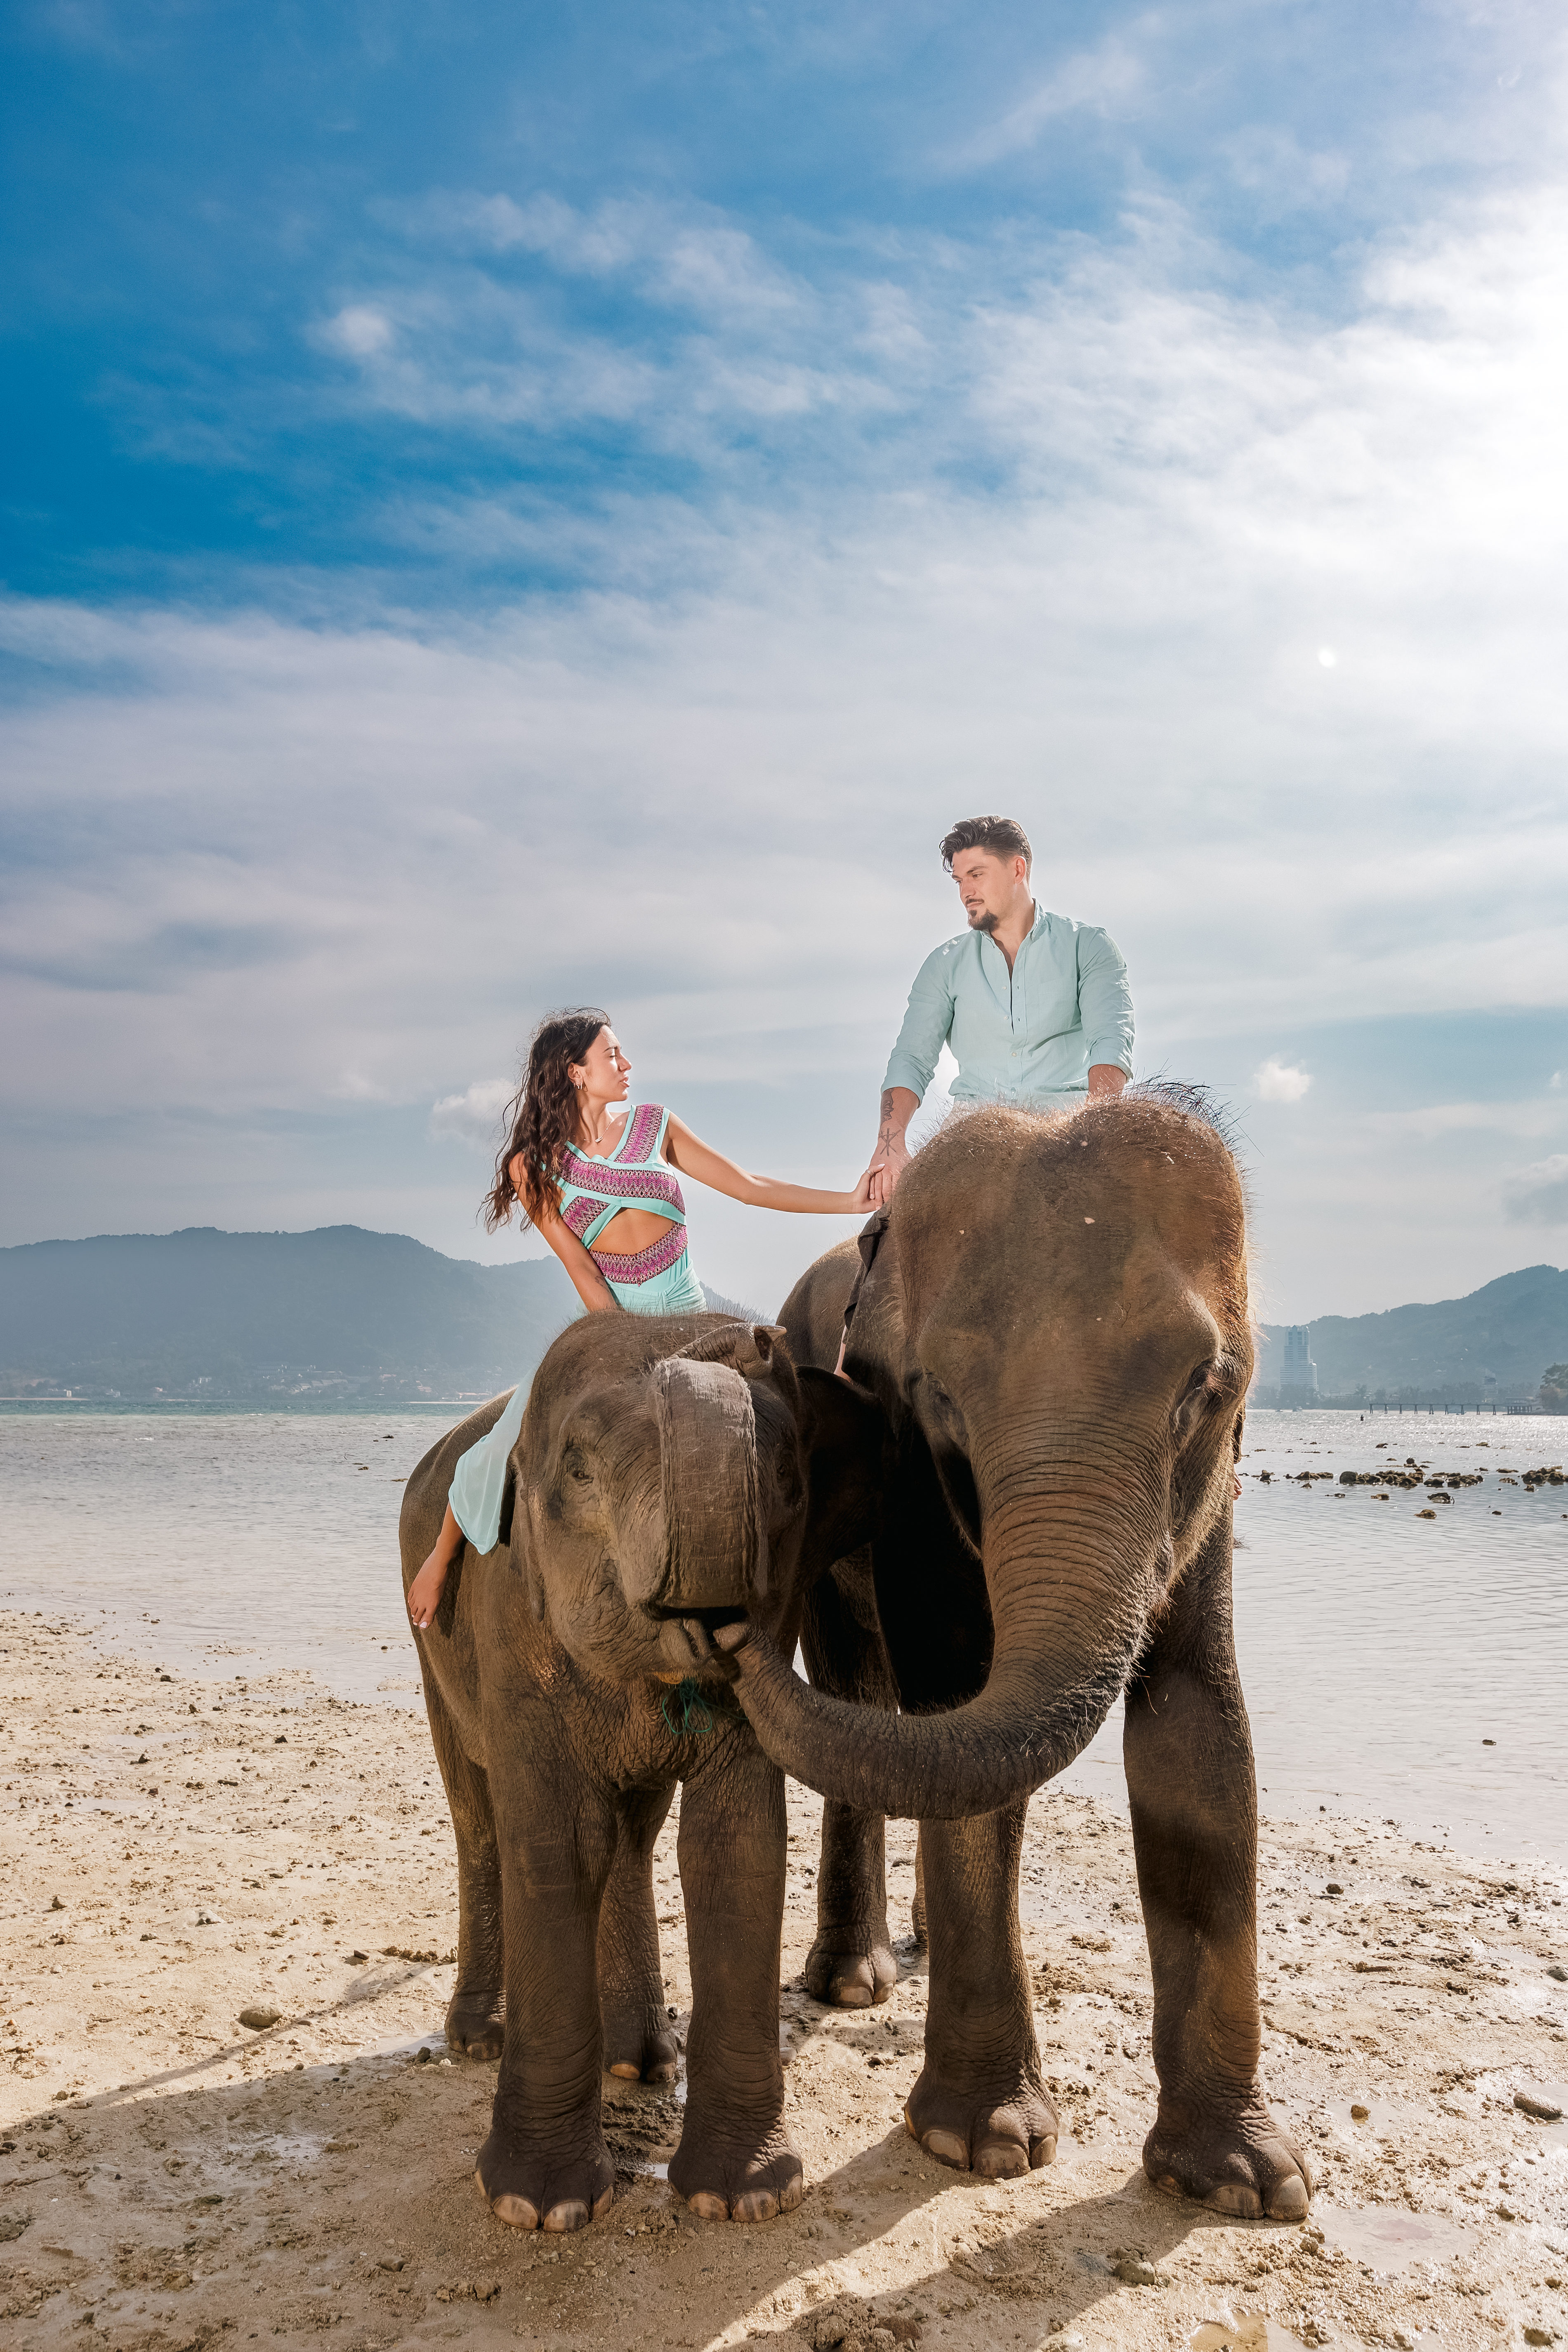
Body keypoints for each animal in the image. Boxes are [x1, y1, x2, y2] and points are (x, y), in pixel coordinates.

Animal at [398, 1312, 880, 2233]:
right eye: (579, 1467)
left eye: (789, 1481)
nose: (754, 1336)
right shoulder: (511, 1622)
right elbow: (554, 1843)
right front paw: (536, 2208)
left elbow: (732, 1846)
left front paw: (746, 2199)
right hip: (430, 1638)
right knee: (478, 1816)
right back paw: (480, 2039)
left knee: (632, 1833)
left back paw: (641, 2062)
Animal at [715, 1087, 1315, 2223]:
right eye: (940, 1396)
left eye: (1205, 1386)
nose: (723, 1627)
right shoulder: (903, 1466)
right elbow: (954, 1692)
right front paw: (982, 2142)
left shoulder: (1211, 1498)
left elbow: (1198, 1728)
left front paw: (1245, 2181)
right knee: (866, 1690)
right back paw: (852, 1981)